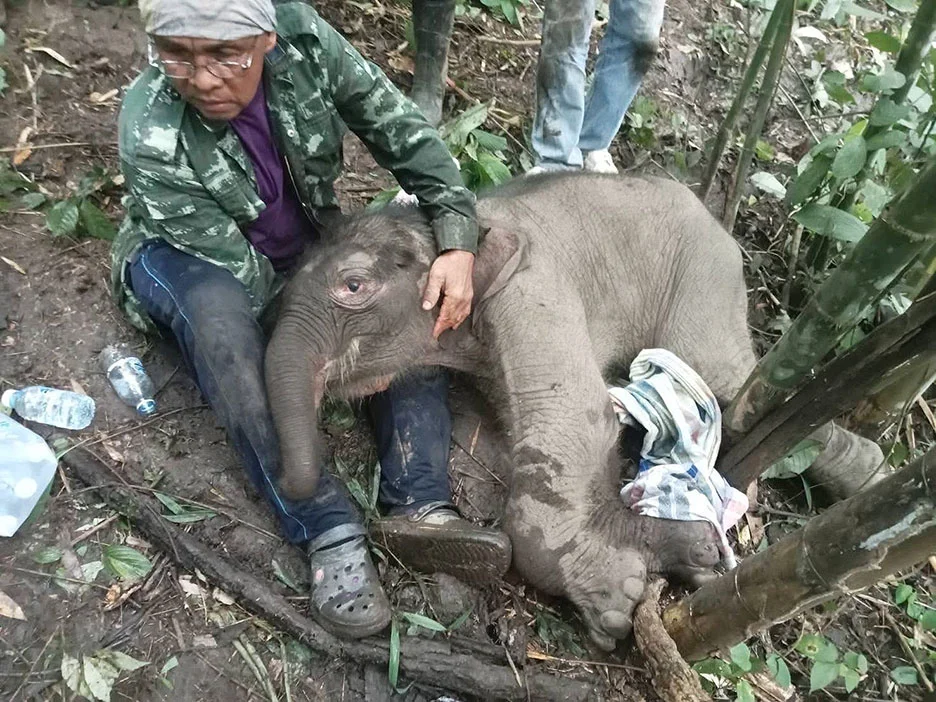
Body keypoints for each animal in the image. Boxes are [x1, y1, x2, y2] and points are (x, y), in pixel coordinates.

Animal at [265, 173, 755, 650]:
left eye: (352, 286)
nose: (287, 481)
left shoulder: (533, 287)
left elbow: (583, 416)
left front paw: (615, 602)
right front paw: (672, 558)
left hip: (706, 282)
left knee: (719, 371)